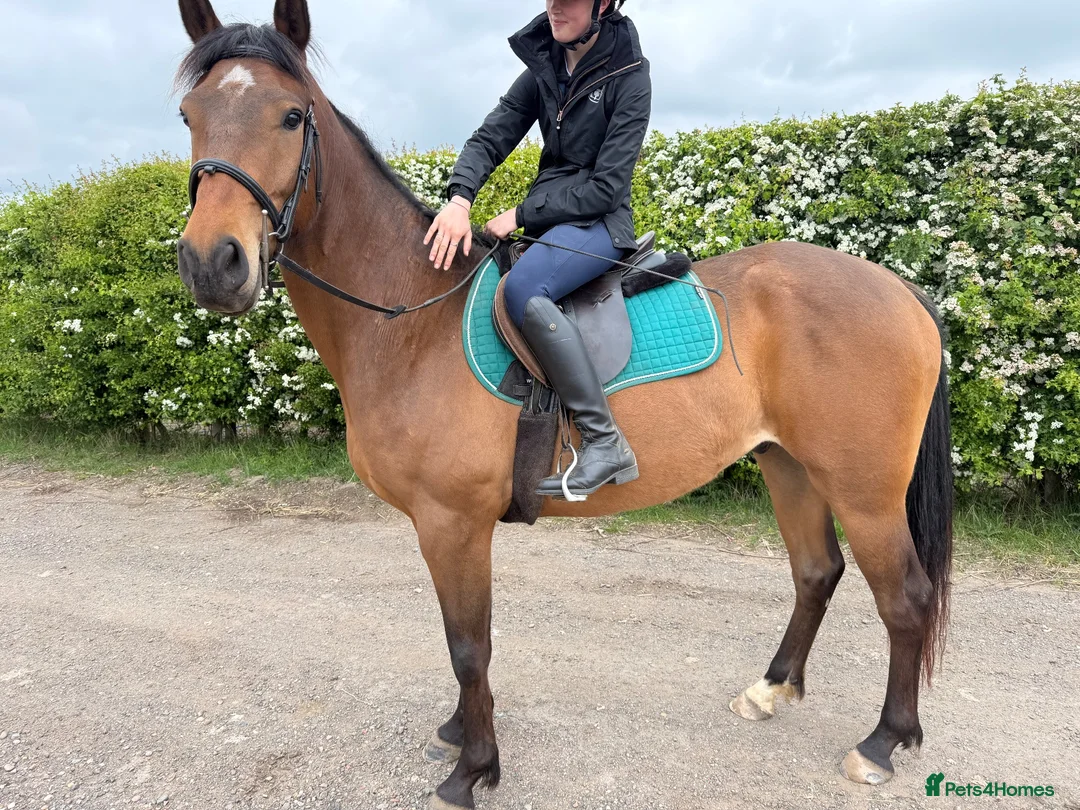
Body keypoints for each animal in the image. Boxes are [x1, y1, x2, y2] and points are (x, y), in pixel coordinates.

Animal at [173, 1, 953, 807]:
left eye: (292, 115)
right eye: (188, 116)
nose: (212, 263)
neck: (413, 318)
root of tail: (900, 290)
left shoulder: (453, 522)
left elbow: (469, 646)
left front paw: (474, 768)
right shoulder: (441, 526)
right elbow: (460, 643)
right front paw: (460, 734)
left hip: (864, 491)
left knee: (906, 597)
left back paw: (884, 740)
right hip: (788, 465)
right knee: (816, 573)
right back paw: (773, 689)